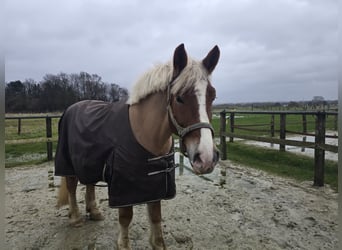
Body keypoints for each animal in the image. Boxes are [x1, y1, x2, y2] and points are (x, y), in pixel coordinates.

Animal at [54, 44, 220, 249]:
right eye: (180, 98)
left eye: (213, 96)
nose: (206, 158)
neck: (145, 134)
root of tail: (71, 108)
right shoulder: (123, 189)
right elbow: (126, 218)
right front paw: (123, 244)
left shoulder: (157, 187)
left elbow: (156, 218)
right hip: (68, 163)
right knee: (71, 186)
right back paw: (75, 218)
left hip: (89, 162)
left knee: (90, 183)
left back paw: (94, 212)